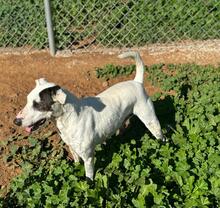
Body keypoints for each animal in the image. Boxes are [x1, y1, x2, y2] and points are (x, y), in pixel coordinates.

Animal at [13, 51, 163, 180]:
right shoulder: (73, 149)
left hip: (151, 121)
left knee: (161, 137)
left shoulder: (89, 158)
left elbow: (88, 178)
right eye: (27, 101)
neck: (69, 118)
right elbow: (76, 163)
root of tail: (136, 82)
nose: (16, 121)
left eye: (38, 105)